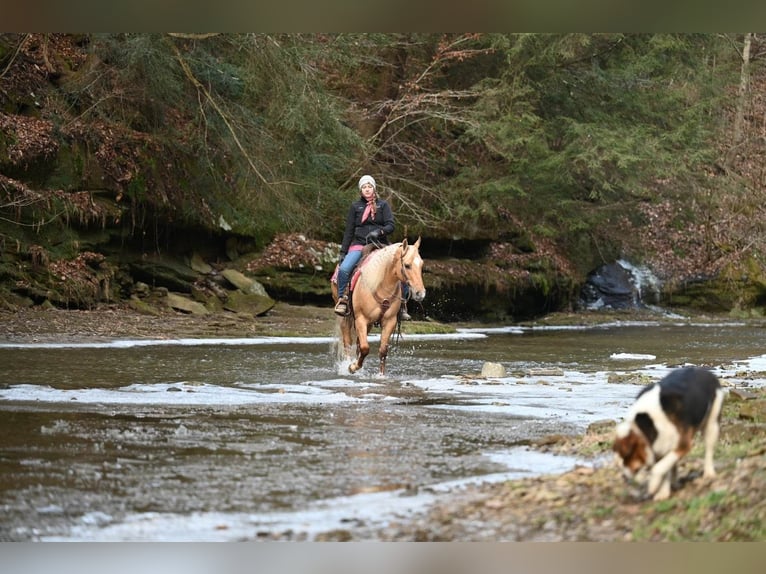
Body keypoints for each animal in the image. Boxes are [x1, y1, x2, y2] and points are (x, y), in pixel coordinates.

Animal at [332, 236, 426, 376]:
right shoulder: (361, 319)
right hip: (346, 317)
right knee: (347, 341)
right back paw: (348, 364)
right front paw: (352, 367)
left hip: (369, 324)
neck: (381, 285)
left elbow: (382, 351)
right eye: (407, 265)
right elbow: (365, 348)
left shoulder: (389, 321)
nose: (421, 293)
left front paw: (381, 376)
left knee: (358, 344)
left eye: (421, 265)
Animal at [612, 368, 728, 500]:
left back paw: (709, 473)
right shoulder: (661, 448)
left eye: (626, 457)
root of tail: (705, 371)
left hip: (712, 426)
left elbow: (658, 469)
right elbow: (664, 470)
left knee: (709, 451)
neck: (648, 425)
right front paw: (663, 493)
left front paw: (653, 485)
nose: (624, 478)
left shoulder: (683, 445)